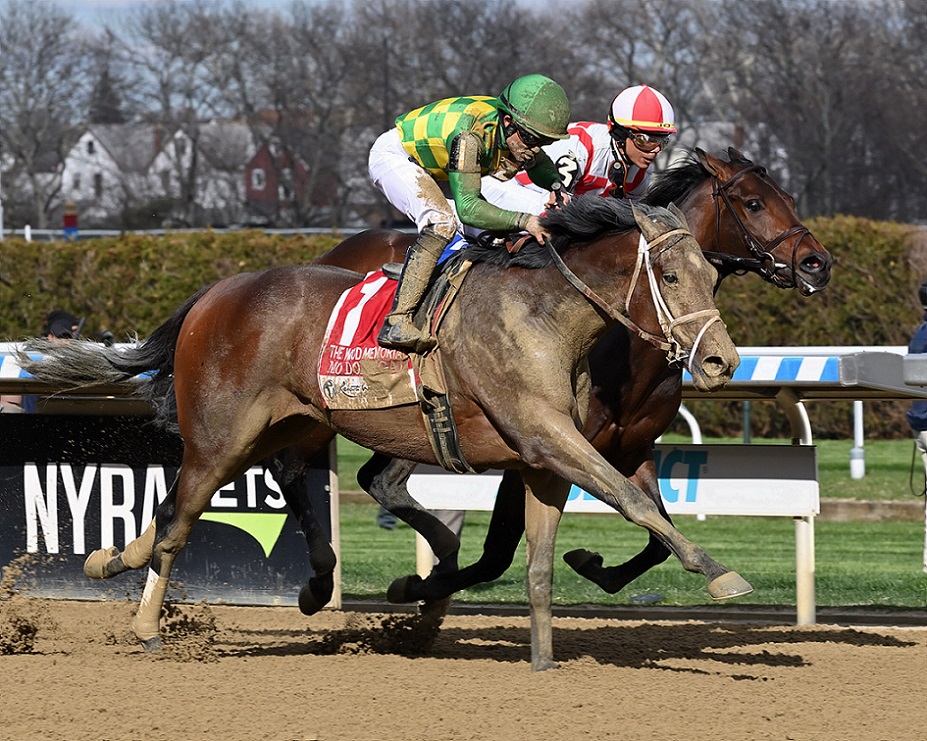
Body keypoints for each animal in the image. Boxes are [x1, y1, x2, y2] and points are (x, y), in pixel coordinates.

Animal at [22, 199, 742, 671]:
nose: (720, 361)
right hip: (221, 436)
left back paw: (114, 560)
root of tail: (214, 293)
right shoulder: (546, 437)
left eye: (713, 276)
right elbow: (634, 499)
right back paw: (147, 622)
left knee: (217, 495)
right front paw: (719, 573)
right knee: (181, 516)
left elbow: (540, 562)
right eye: (669, 276)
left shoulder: (543, 458)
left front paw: (542, 660)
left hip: (287, 423)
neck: (544, 316)